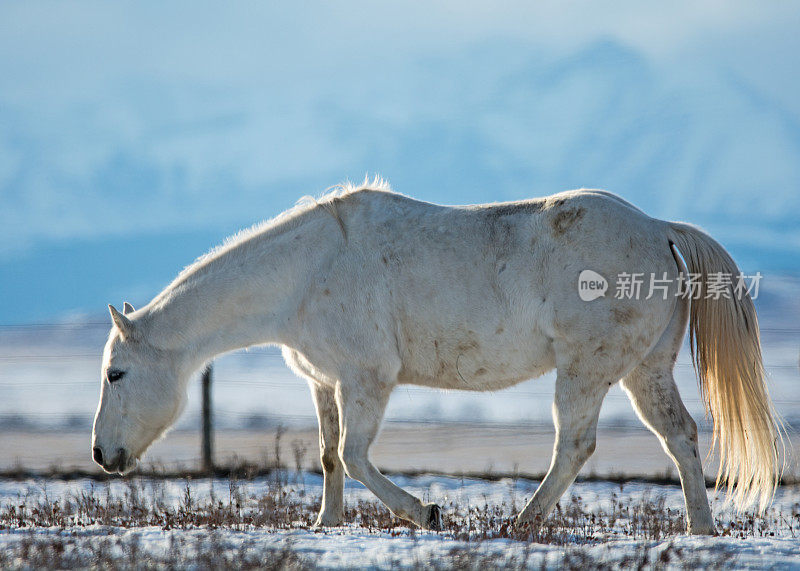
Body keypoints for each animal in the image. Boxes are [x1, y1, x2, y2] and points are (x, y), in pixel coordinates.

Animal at [92, 181, 780, 536]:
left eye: (116, 373)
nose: (102, 455)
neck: (307, 270)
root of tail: (659, 229)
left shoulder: (367, 381)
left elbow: (356, 458)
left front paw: (426, 511)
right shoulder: (325, 383)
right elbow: (330, 457)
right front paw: (326, 524)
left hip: (585, 373)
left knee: (575, 447)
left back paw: (520, 525)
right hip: (644, 372)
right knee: (681, 436)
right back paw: (698, 529)